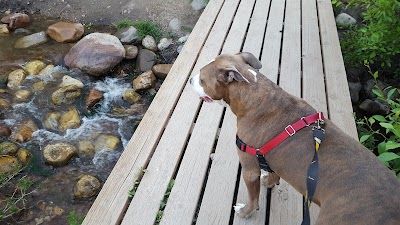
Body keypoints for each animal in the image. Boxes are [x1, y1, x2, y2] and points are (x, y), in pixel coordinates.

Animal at [189, 52, 400, 223]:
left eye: (202, 78)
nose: (190, 79)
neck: (254, 95)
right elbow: (273, 174)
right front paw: (268, 182)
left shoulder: (249, 169)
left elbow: (253, 198)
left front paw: (245, 212)